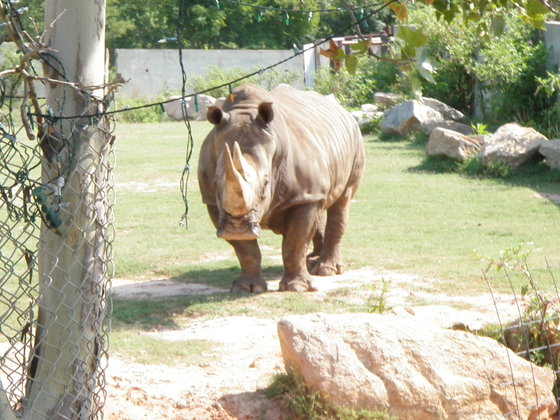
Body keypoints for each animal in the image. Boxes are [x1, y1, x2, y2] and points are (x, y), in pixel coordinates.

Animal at [197, 83, 365, 292]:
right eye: (215, 184)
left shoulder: (302, 196)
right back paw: (312, 262)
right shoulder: (212, 201)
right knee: (321, 205)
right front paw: (246, 288)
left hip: (355, 139)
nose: (236, 229)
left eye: (266, 184)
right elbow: (246, 251)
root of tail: (343, 110)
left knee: (342, 201)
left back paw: (326, 270)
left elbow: (295, 243)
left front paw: (297, 288)